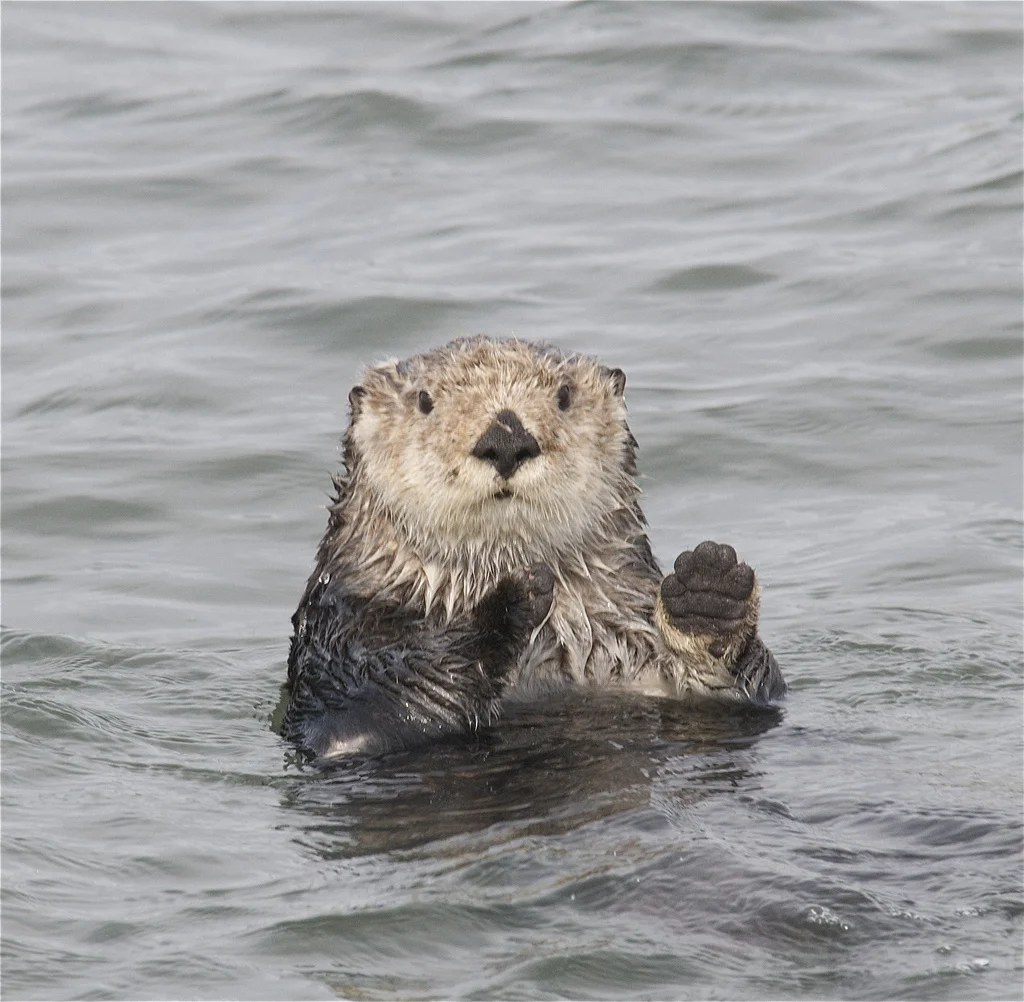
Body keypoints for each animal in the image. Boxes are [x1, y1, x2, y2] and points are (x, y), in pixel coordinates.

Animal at [282, 336, 783, 760]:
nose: (506, 439)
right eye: (424, 400)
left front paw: (708, 592)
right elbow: (373, 712)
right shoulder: (340, 652)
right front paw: (509, 603)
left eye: (564, 396)